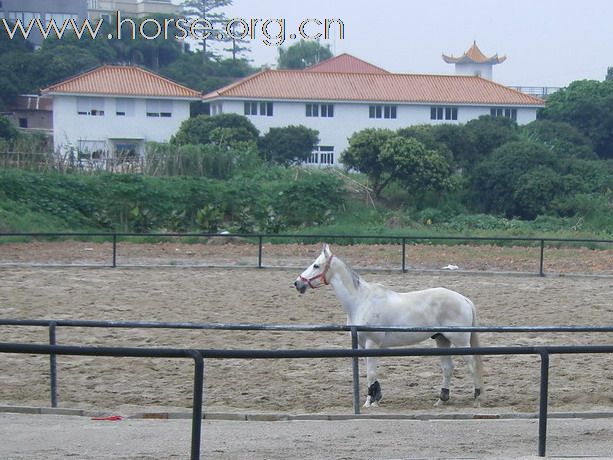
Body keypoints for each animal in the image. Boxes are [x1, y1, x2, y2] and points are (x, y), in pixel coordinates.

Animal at [292, 244, 482, 406]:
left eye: (316, 266)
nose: (297, 283)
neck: (361, 301)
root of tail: (464, 300)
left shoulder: (372, 344)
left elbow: (371, 373)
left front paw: (370, 402)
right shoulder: (361, 346)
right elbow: (369, 373)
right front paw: (375, 397)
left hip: (460, 342)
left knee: (473, 366)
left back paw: (477, 398)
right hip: (442, 340)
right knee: (448, 368)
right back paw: (441, 400)